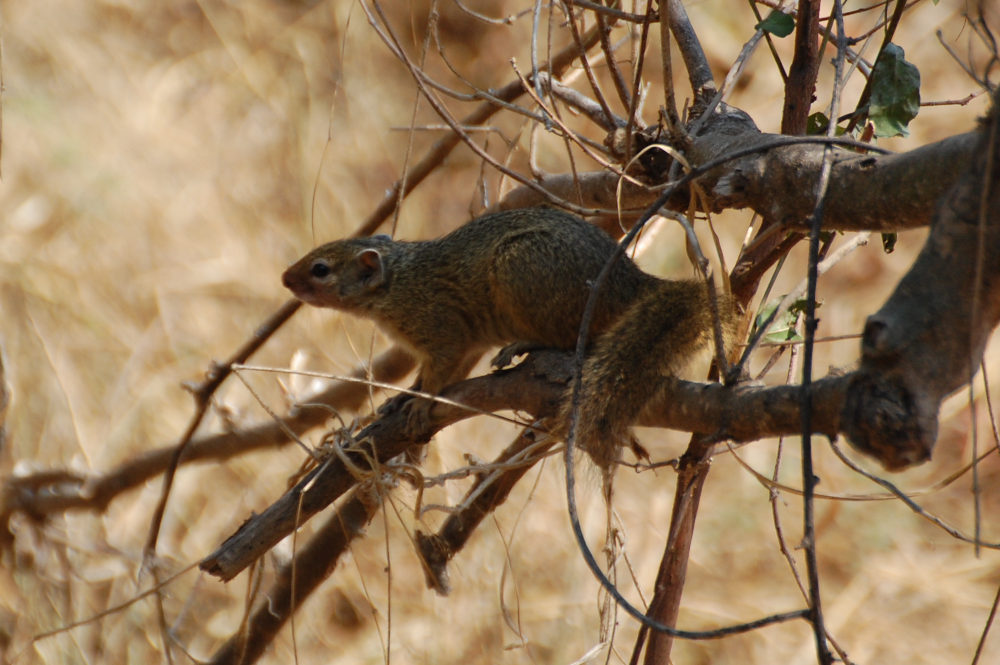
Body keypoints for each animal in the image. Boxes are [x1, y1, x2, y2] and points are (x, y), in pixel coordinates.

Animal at [282, 205, 736, 470]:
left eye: (321, 269)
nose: (285, 278)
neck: (396, 285)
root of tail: (630, 282)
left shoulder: (442, 329)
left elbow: (439, 375)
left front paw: (420, 403)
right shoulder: (463, 342)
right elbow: (438, 373)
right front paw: (402, 397)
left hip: (525, 270)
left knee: (575, 340)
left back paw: (525, 346)